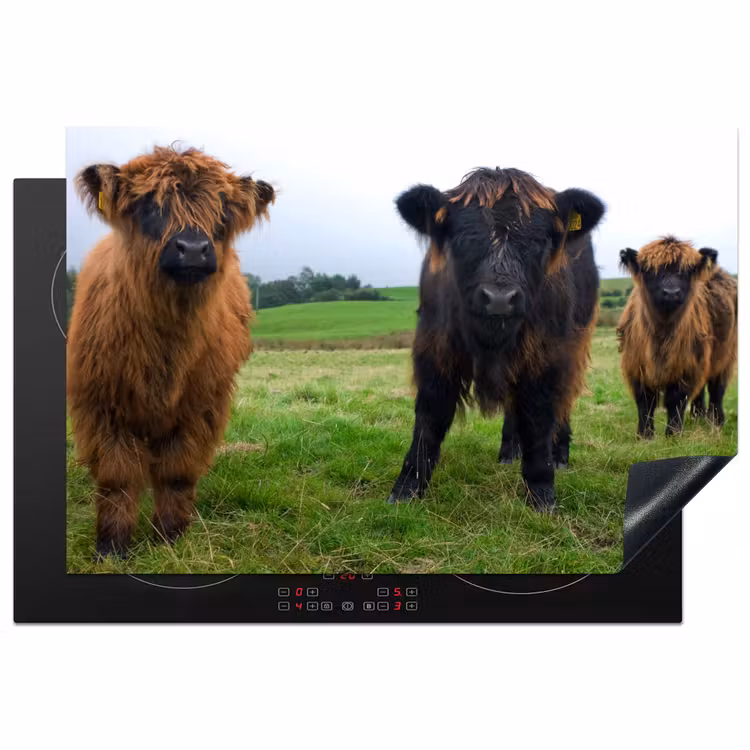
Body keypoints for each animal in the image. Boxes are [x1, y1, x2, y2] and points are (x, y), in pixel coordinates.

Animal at [67, 145, 275, 557]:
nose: (192, 249)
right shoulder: (101, 406)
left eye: (222, 209)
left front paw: (170, 537)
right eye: (149, 204)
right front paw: (112, 546)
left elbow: (177, 472)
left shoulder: (200, 407)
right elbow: (116, 477)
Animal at [388, 167, 604, 511]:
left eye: (541, 240)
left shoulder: (548, 355)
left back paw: (560, 456)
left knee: (564, 401)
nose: (500, 299)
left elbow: (539, 418)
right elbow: (430, 417)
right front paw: (407, 488)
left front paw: (541, 493)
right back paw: (508, 452)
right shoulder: (435, 347)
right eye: (460, 238)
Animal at [617, 236, 737, 437]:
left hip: (724, 356)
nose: (671, 292)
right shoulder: (636, 365)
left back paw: (716, 421)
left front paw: (673, 434)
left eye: (687, 271)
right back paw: (698, 417)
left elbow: (676, 399)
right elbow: (645, 401)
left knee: (716, 389)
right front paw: (644, 434)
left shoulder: (686, 366)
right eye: (651, 270)